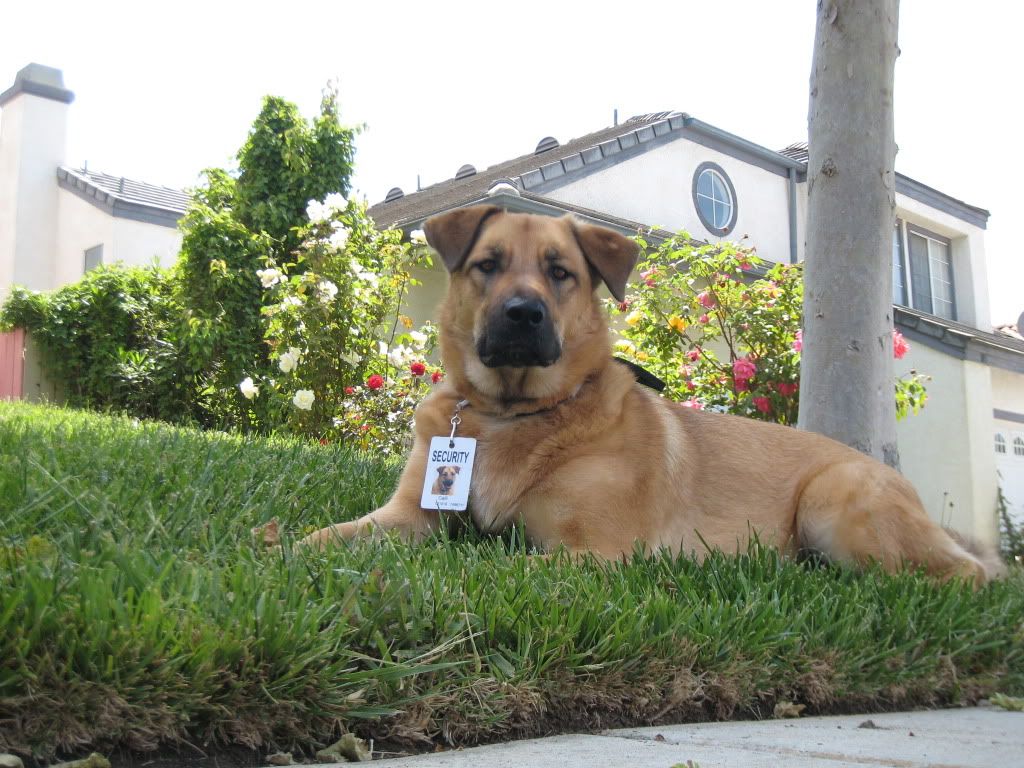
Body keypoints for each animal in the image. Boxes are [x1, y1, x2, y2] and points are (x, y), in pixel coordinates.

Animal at [303, 204, 999, 581]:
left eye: (561, 272)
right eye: (488, 265)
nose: (524, 314)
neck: (511, 413)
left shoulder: (594, 552)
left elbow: (479, 564)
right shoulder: (406, 516)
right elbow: (331, 535)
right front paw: (285, 549)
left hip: (837, 500)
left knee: (964, 575)